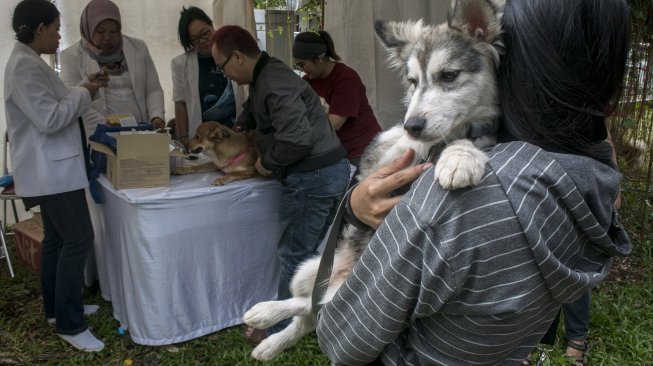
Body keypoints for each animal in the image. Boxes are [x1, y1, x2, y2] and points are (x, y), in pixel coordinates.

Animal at [242, 0, 502, 360]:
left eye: (449, 76)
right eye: (412, 81)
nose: (413, 125)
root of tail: (340, 279)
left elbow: (471, 140)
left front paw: (460, 156)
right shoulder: (382, 153)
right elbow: (403, 145)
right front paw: (440, 148)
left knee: (313, 311)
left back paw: (271, 331)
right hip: (308, 270)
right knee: (306, 306)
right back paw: (268, 320)